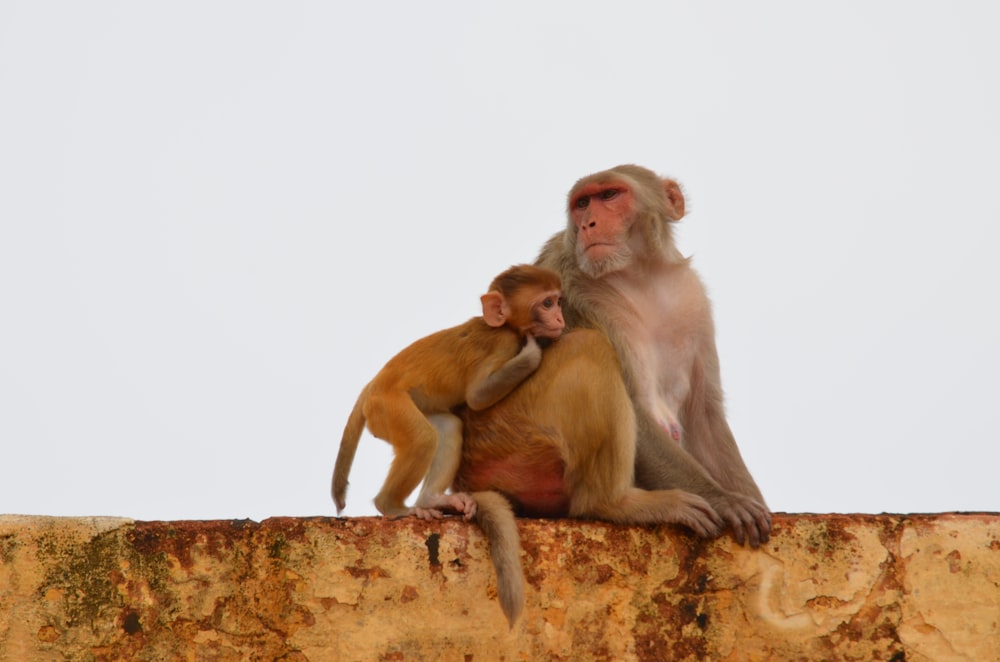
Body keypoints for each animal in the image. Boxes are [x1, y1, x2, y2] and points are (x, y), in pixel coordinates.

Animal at [334, 266, 564, 524]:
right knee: (423, 438)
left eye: (557, 301)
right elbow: (477, 396)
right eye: (547, 303)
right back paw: (392, 505)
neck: (504, 326)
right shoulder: (502, 343)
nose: (560, 318)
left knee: (448, 427)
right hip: (388, 406)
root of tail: (372, 386)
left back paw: (431, 500)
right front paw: (533, 353)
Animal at [458, 166, 768, 624]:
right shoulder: (574, 289)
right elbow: (636, 409)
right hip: (514, 439)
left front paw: (751, 502)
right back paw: (616, 503)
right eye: (582, 203)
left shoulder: (691, 298)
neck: (641, 278)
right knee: (590, 350)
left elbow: (704, 416)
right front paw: (725, 500)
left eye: (609, 196)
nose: (588, 223)